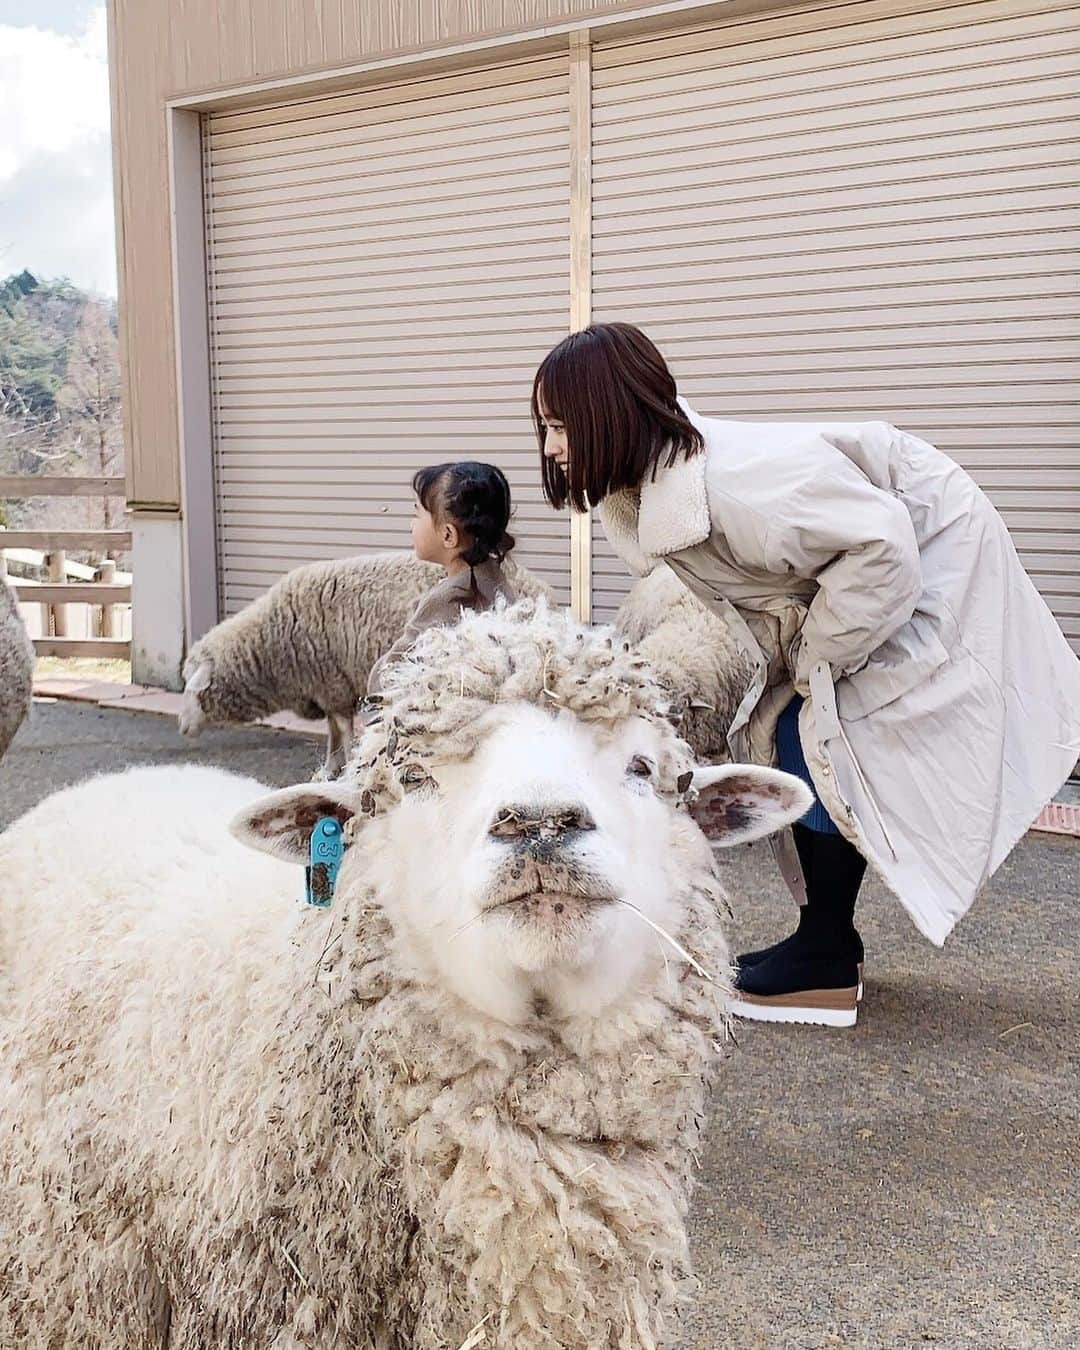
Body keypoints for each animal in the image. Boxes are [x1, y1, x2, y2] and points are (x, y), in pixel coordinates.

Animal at [182, 550, 553, 783]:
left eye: (192, 689)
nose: (182, 728)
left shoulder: (332, 682)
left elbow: (343, 732)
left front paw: (344, 769)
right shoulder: (329, 687)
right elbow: (333, 732)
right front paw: (329, 770)